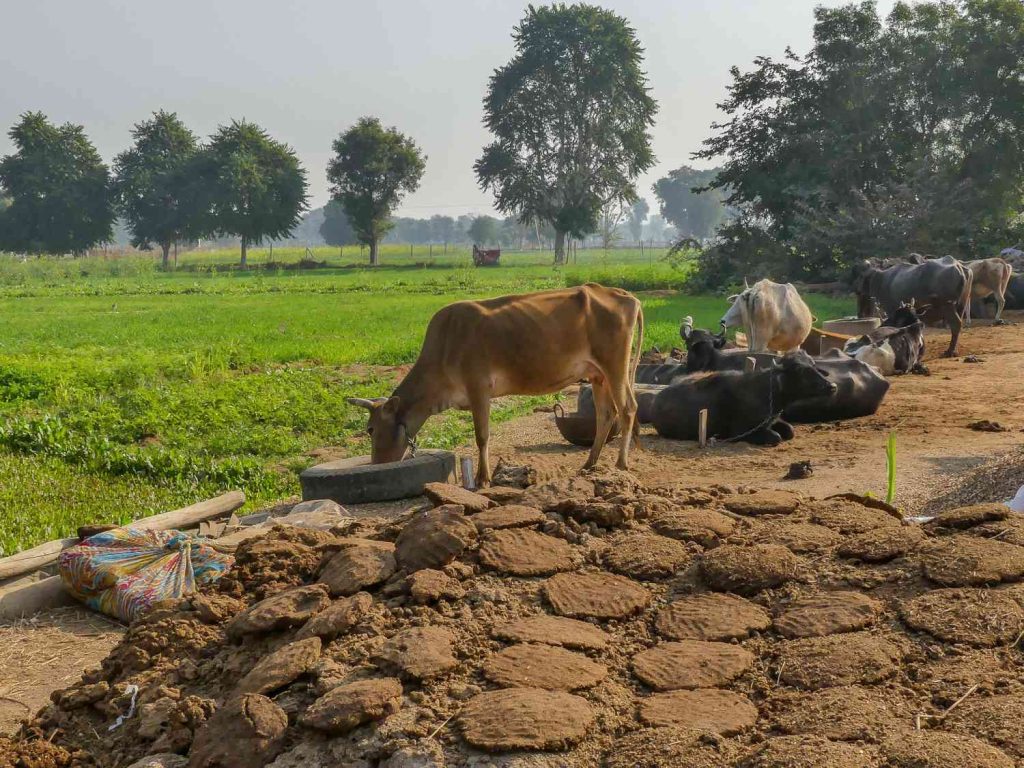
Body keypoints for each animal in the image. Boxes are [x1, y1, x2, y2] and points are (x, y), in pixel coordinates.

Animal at [348, 282, 643, 487]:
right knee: (606, 414)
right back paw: (590, 463)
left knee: (628, 408)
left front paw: (483, 478)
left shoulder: (479, 388)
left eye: (371, 429)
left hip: (615, 367)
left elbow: (482, 435)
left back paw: (621, 462)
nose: (376, 464)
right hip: (597, 375)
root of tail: (623, 295)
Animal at [651, 352, 835, 448]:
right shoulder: (740, 431)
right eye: (800, 370)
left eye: (814, 365)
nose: (832, 386)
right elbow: (776, 437)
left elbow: (790, 430)